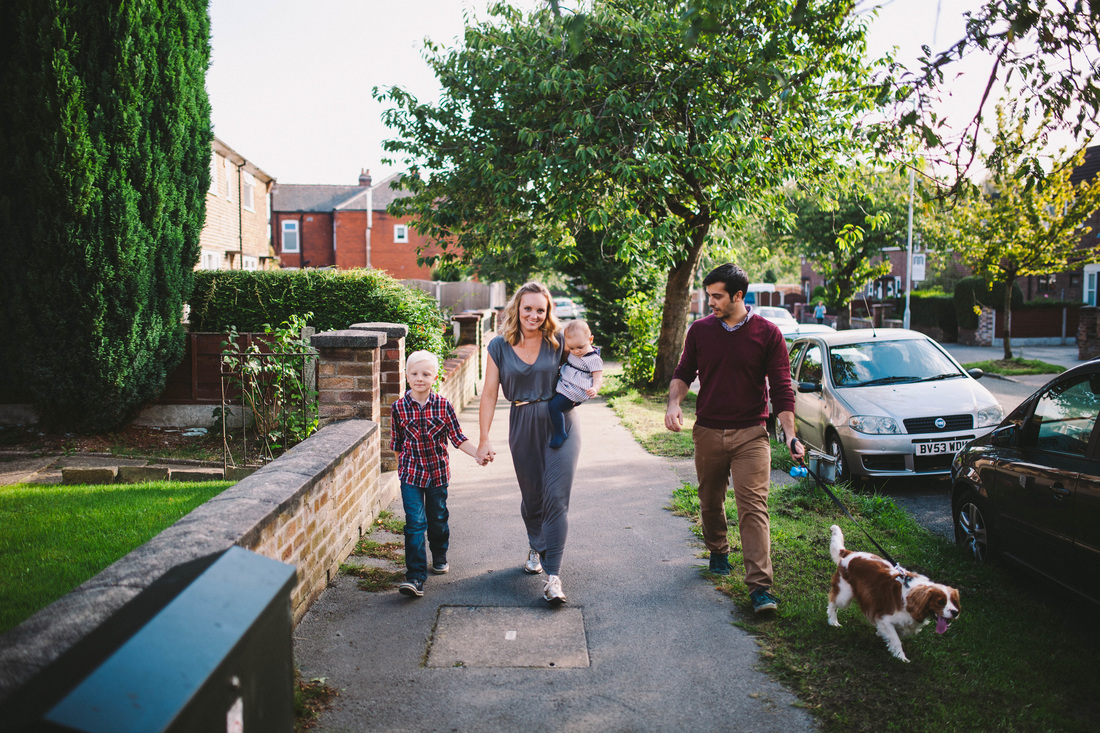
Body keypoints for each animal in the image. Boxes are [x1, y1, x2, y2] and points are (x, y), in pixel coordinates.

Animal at [827, 521, 959, 660]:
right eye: (940, 602)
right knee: (832, 602)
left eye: (954, 602)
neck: (912, 599)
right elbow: (896, 639)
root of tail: (849, 553)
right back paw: (833, 621)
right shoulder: (885, 618)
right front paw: (901, 657)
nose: (955, 612)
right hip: (844, 595)